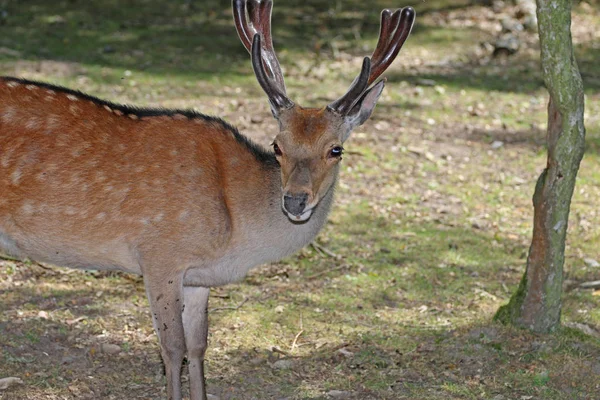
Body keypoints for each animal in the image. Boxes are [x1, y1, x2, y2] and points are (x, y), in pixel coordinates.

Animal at [0, 1, 412, 398]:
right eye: (277, 145)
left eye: (336, 150)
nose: (295, 201)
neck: (233, 235)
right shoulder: (160, 255)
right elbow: (172, 348)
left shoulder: (198, 279)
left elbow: (198, 346)